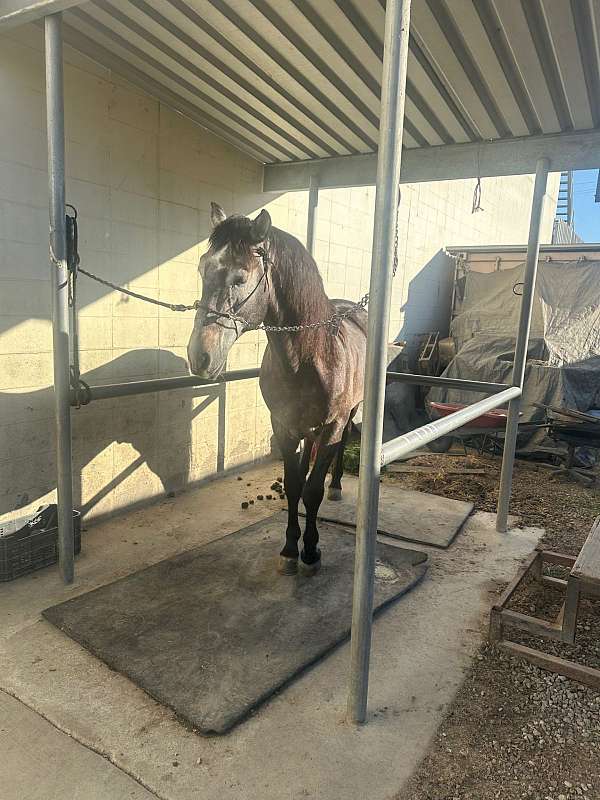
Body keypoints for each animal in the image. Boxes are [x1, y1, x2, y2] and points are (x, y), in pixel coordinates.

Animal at [188, 203, 366, 572]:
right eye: (202, 268)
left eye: (240, 278)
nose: (200, 356)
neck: (309, 358)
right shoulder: (283, 425)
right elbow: (294, 485)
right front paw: (289, 548)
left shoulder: (331, 426)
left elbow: (312, 491)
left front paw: (310, 550)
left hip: (350, 413)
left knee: (343, 444)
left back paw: (337, 485)